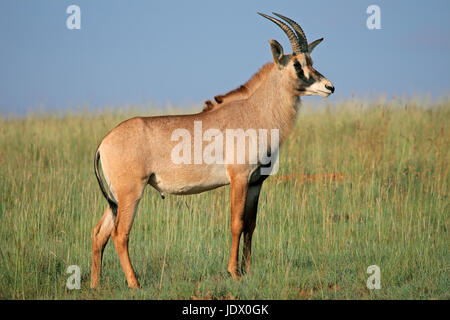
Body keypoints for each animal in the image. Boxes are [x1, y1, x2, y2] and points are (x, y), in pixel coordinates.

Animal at [90, 12, 334, 288]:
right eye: (297, 65)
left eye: (311, 61)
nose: (329, 87)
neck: (254, 111)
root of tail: (105, 142)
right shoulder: (238, 178)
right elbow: (236, 223)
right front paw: (234, 272)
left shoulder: (256, 183)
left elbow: (251, 225)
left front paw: (248, 271)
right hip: (131, 192)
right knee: (120, 233)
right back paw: (135, 284)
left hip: (116, 197)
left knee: (100, 233)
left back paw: (95, 284)